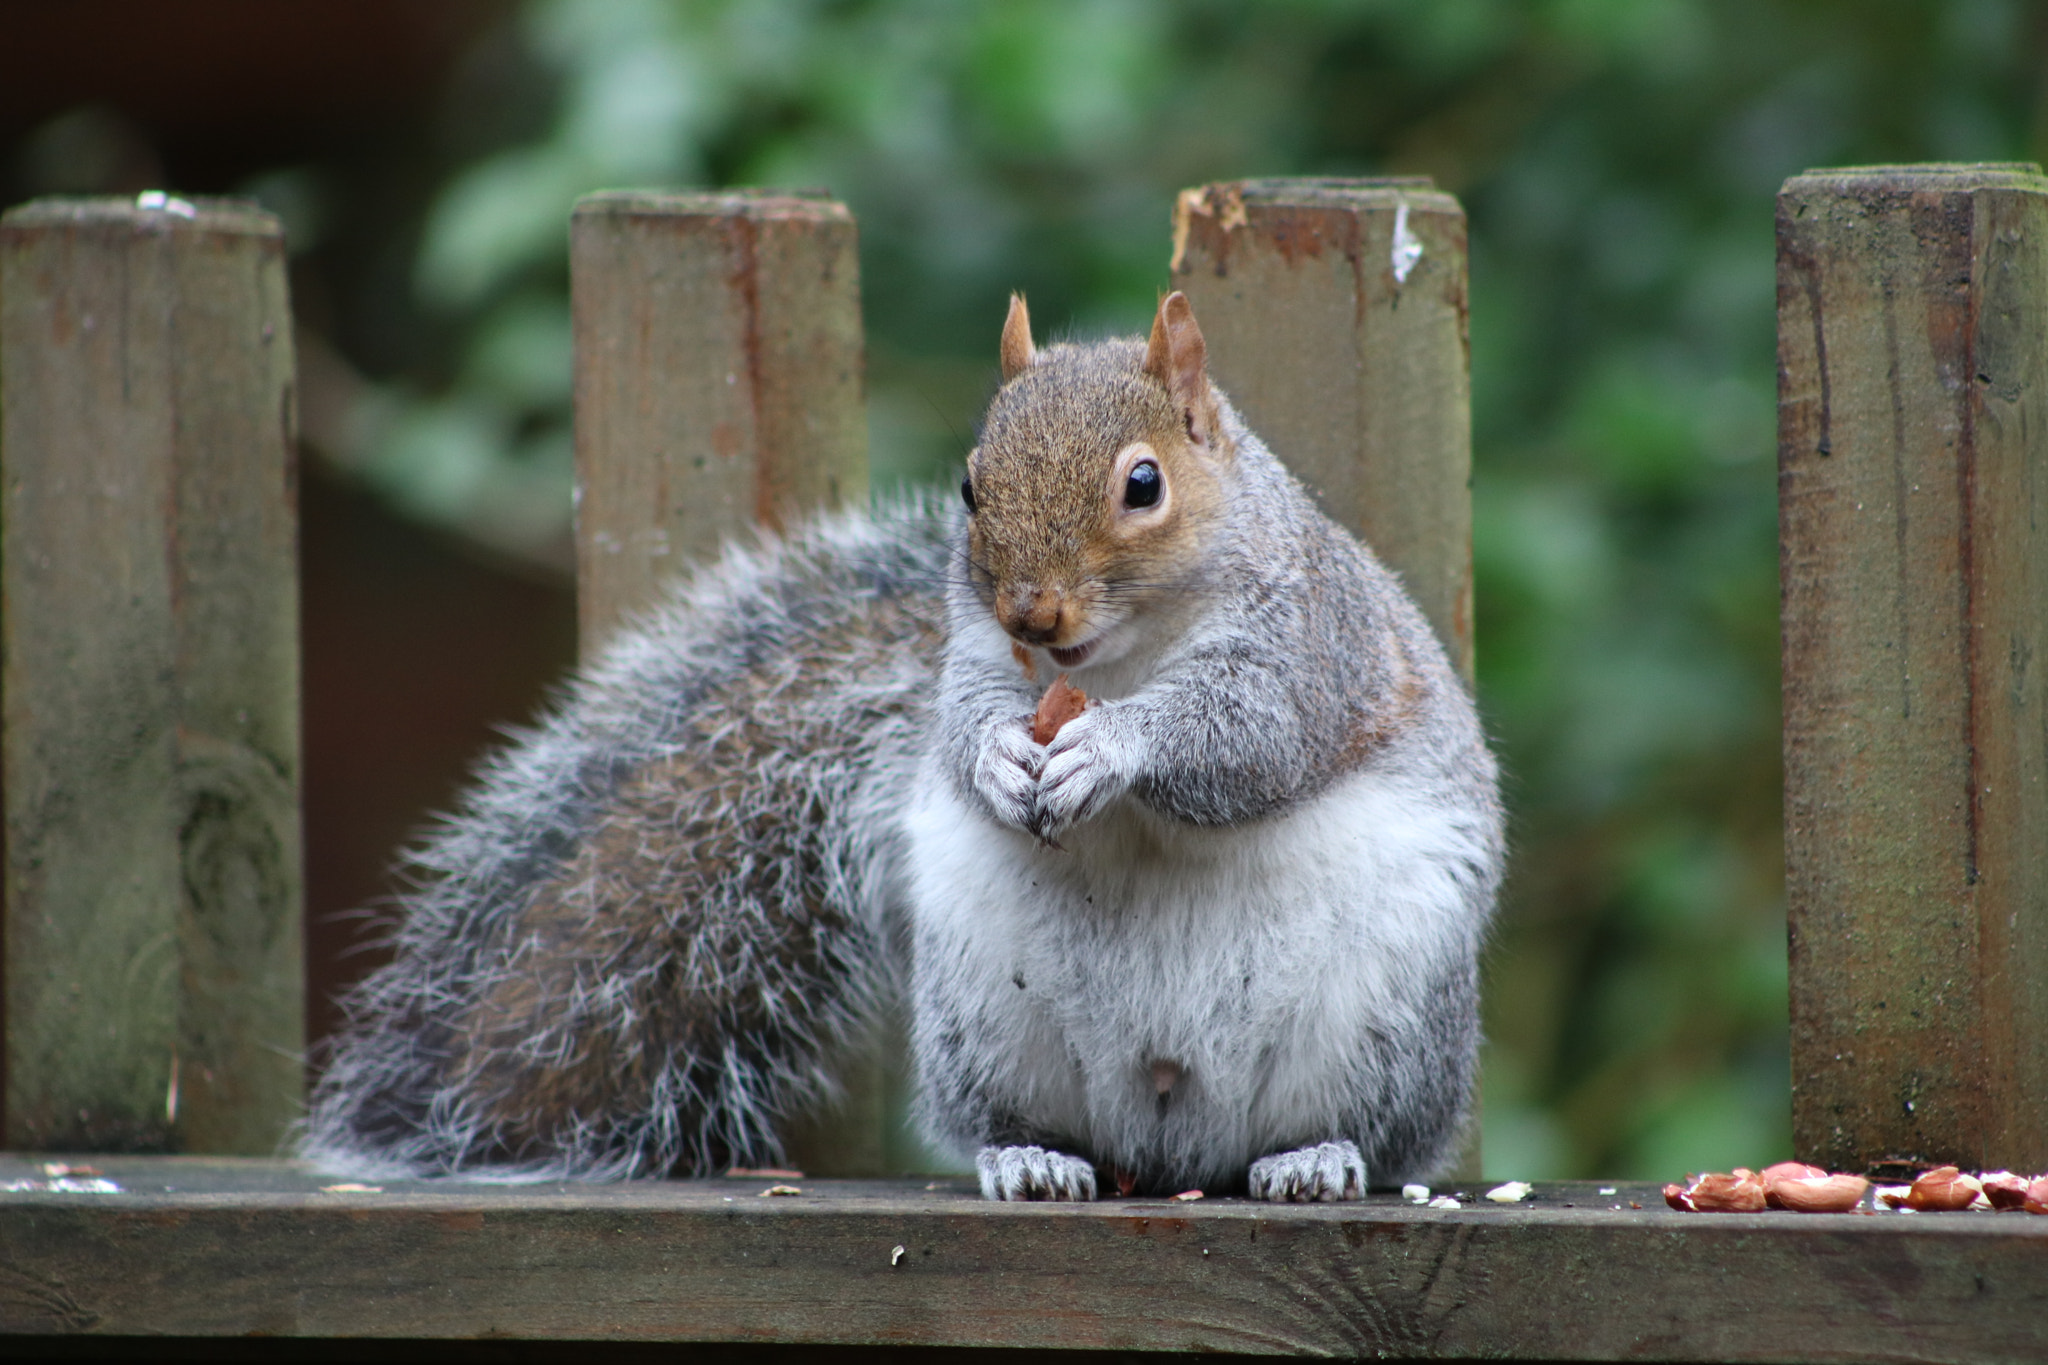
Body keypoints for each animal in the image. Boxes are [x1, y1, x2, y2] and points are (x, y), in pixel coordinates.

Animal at [311, 288, 1515, 1195]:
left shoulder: (1311, 653)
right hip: (985, 1012)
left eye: (1144, 484)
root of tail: (1172, 1142)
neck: (1110, 662)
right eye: (970, 484)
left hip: (1384, 1020)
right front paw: (993, 761)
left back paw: (1314, 1157)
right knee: (1023, 1121)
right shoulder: (974, 662)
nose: (1030, 612)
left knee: (1370, 1127)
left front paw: (1112, 750)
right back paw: (1029, 1159)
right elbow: (959, 728)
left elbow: (1243, 740)